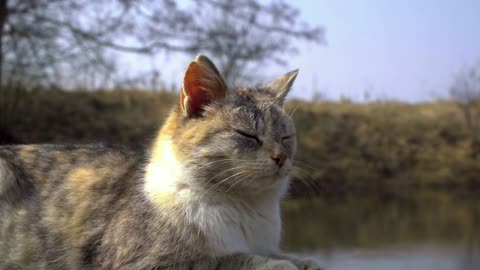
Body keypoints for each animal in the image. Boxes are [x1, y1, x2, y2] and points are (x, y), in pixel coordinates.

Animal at [0, 54, 322, 270]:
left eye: (286, 137)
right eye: (248, 135)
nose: (281, 158)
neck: (245, 207)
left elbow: (289, 256)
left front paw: (303, 261)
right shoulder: (143, 262)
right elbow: (227, 260)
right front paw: (276, 264)